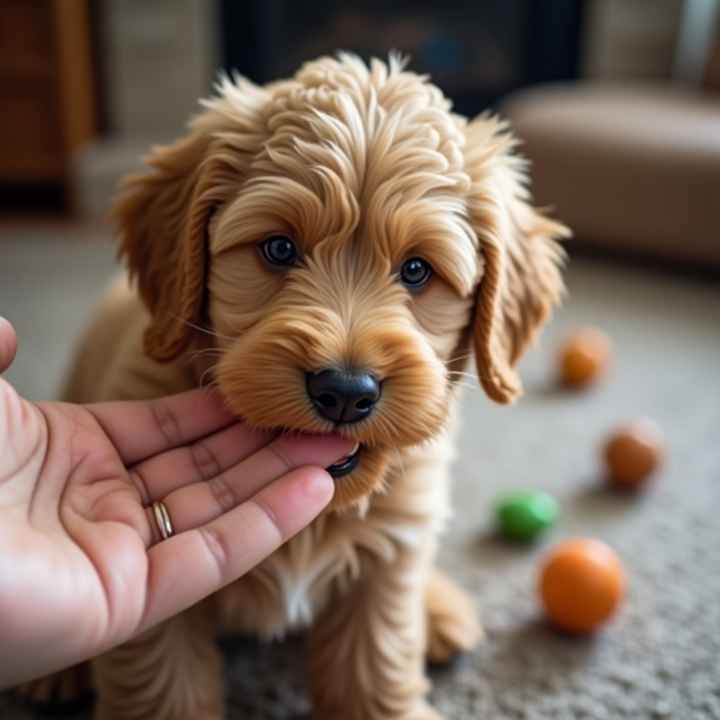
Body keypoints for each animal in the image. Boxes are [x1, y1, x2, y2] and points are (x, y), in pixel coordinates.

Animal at [54, 53, 568, 716]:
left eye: (417, 269)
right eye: (278, 248)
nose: (345, 391)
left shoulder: (390, 552)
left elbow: (376, 661)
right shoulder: (158, 595)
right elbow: (164, 686)